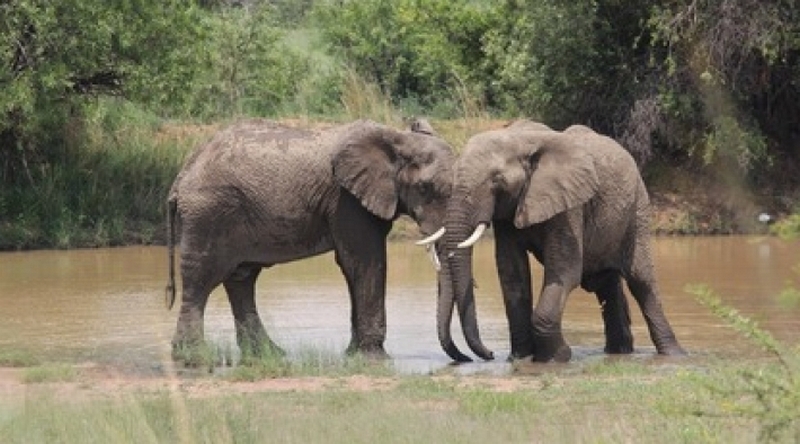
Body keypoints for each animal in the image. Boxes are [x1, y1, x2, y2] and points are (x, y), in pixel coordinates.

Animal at [166, 119, 456, 364]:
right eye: (425, 188)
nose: (460, 358)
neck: (397, 138)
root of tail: (181, 177)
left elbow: (351, 267)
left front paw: (353, 355)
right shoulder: (346, 200)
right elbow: (365, 262)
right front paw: (376, 359)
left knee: (242, 279)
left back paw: (268, 354)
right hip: (208, 213)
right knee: (201, 279)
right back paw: (194, 358)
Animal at [432, 119, 688, 362]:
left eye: (497, 180)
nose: (490, 354)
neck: (521, 137)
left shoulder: (570, 205)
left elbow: (565, 272)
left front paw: (556, 358)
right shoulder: (509, 211)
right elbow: (512, 274)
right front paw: (520, 358)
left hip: (638, 208)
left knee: (641, 281)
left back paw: (674, 354)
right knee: (607, 284)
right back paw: (619, 353)